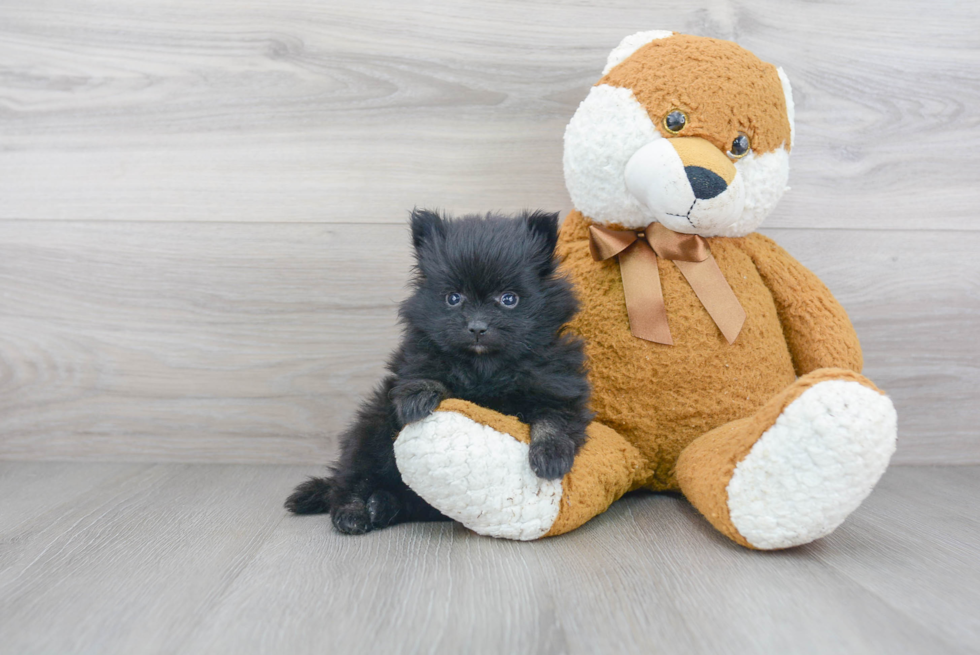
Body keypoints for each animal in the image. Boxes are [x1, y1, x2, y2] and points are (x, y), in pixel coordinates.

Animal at [284, 209, 588, 532]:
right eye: (453, 298)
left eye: (509, 299)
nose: (477, 327)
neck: (485, 369)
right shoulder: (414, 363)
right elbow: (428, 371)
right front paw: (420, 395)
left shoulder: (557, 387)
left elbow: (553, 420)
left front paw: (551, 454)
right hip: (371, 431)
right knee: (351, 480)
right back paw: (353, 512)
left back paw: (381, 506)